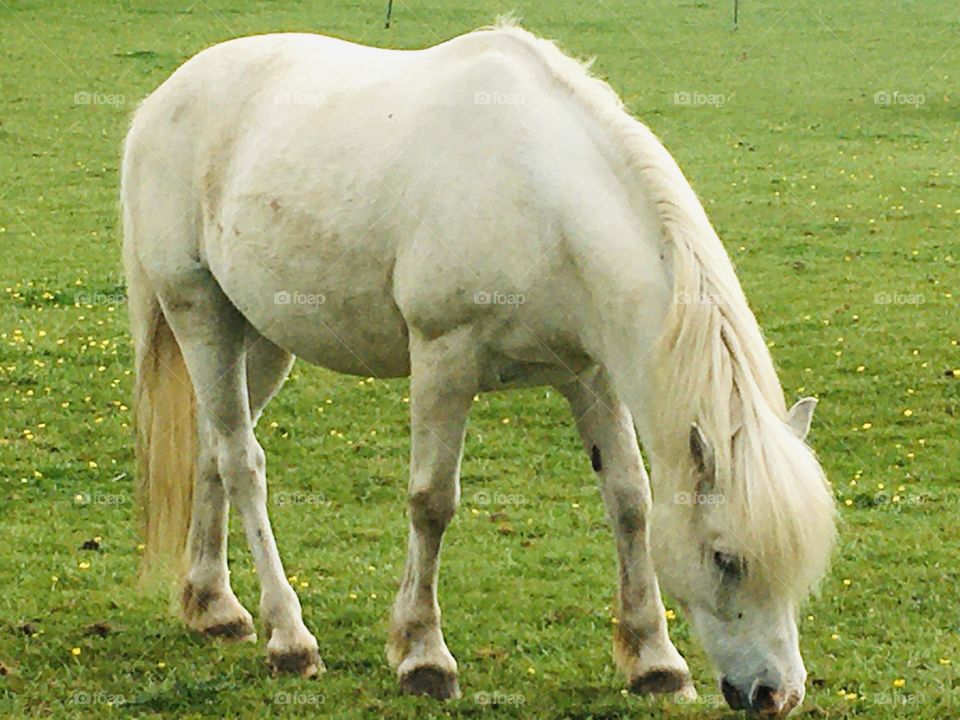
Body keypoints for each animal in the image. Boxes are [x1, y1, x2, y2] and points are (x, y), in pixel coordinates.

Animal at [122, 19, 836, 717]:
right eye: (725, 558)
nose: (777, 694)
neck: (541, 203)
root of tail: (161, 101)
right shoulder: (445, 359)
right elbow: (432, 502)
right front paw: (422, 655)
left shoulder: (591, 376)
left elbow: (629, 499)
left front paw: (654, 660)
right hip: (201, 316)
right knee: (243, 463)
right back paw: (288, 638)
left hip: (264, 341)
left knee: (213, 451)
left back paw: (214, 607)